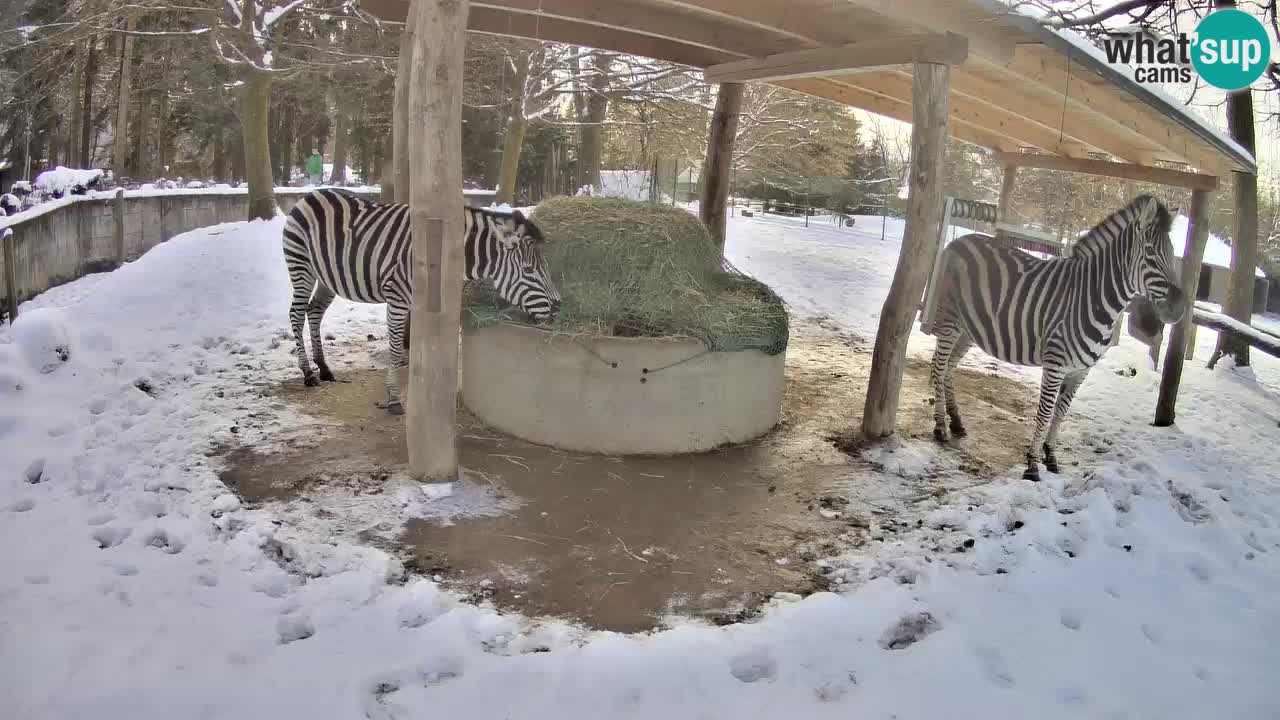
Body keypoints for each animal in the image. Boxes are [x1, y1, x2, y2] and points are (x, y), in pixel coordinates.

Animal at [282, 188, 560, 415]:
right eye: (529, 270)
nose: (558, 309)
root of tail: (310, 195)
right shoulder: (396, 297)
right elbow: (396, 350)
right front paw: (394, 400)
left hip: (326, 277)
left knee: (314, 311)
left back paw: (324, 368)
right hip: (302, 266)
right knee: (296, 313)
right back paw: (308, 373)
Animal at [925, 195, 1186, 481]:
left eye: (1172, 254)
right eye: (1150, 253)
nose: (1178, 309)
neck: (1094, 301)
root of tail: (959, 240)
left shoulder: (1080, 371)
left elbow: (1061, 413)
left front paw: (1051, 457)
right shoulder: (1055, 365)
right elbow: (1045, 412)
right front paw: (1032, 465)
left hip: (969, 329)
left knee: (949, 367)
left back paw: (956, 422)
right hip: (951, 319)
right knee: (939, 366)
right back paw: (940, 427)